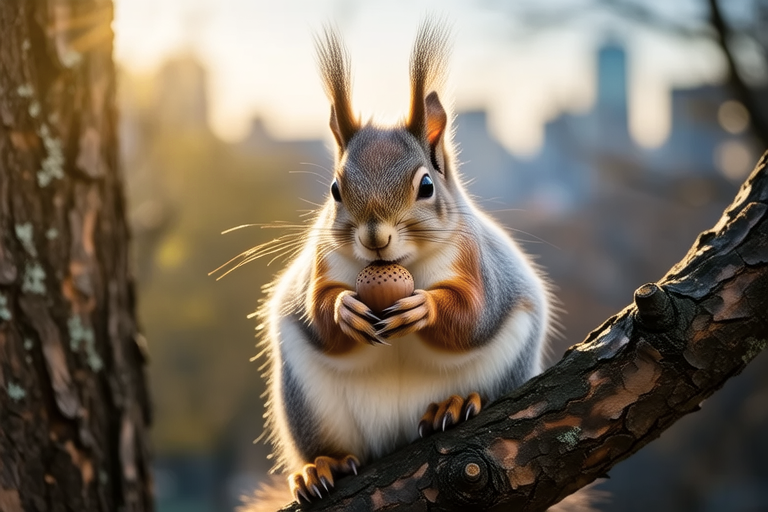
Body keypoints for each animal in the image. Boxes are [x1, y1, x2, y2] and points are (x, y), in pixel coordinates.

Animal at [245, 20, 564, 509]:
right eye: (335, 189)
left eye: (427, 186)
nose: (375, 237)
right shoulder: (320, 263)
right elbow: (316, 312)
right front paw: (343, 310)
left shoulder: (475, 261)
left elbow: (474, 314)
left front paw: (423, 308)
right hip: (310, 404)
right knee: (328, 448)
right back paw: (321, 468)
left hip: (505, 370)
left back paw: (453, 405)